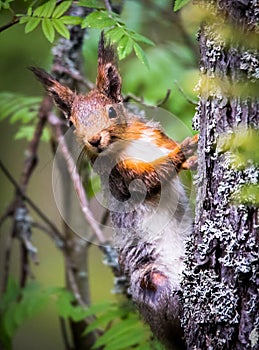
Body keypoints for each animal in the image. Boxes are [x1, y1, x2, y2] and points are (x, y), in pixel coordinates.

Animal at [32, 32, 199, 348]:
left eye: (111, 110)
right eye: (71, 123)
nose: (95, 140)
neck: (127, 145)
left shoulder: (157, 138)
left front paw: (190, 155)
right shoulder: (122, 179)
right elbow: (152, 178)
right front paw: (184, 150)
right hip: (153, 283)